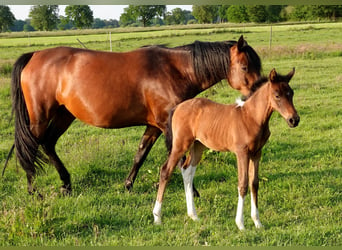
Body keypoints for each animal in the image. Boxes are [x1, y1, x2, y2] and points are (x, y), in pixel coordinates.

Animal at [152, 68, 300, 230]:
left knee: (187, 171)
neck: (251, 117)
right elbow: (243, 184)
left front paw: (258, 223)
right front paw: (240, 224)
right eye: (277, 95)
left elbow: (254, 184)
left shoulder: (257, 153)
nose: (294, 120)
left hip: (198, 146)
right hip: (180, 144)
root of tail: (177, 107)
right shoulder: (242, 153)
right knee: (166, 171)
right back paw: (157, 217)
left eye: (291, 93)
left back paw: (193, 216)